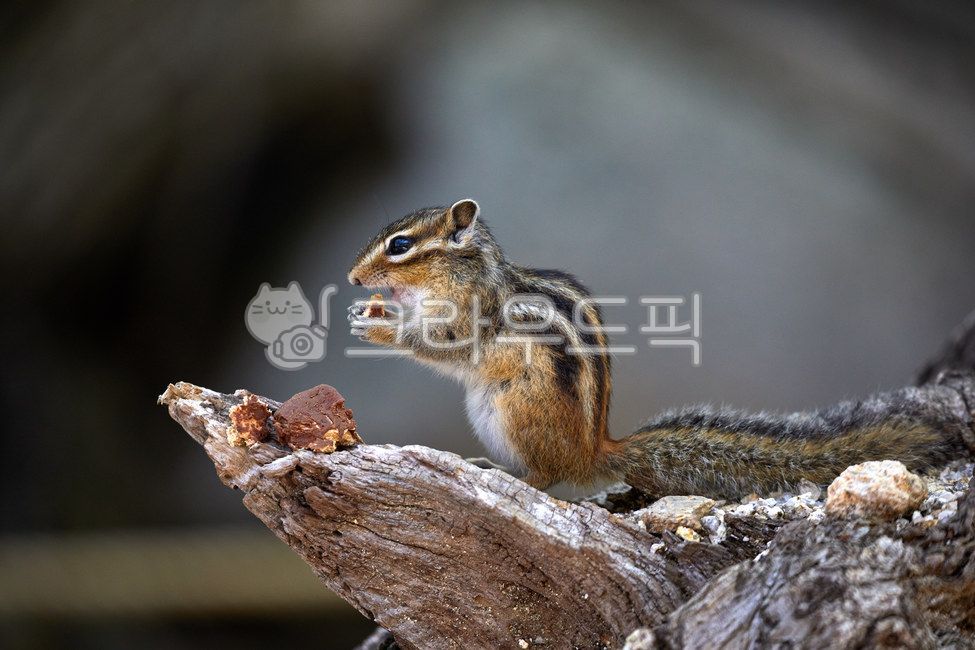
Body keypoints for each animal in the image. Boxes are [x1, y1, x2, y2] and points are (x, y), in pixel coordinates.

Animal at [347, 199, 971, 498]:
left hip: (515, 411)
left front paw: (380, 328)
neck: (464, 272)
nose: (353, 279)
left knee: (547, 478)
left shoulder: (470, 316)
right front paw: (372, 311)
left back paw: (510, 476)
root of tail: (595, 451)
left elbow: (443, 346)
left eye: (400, 246)